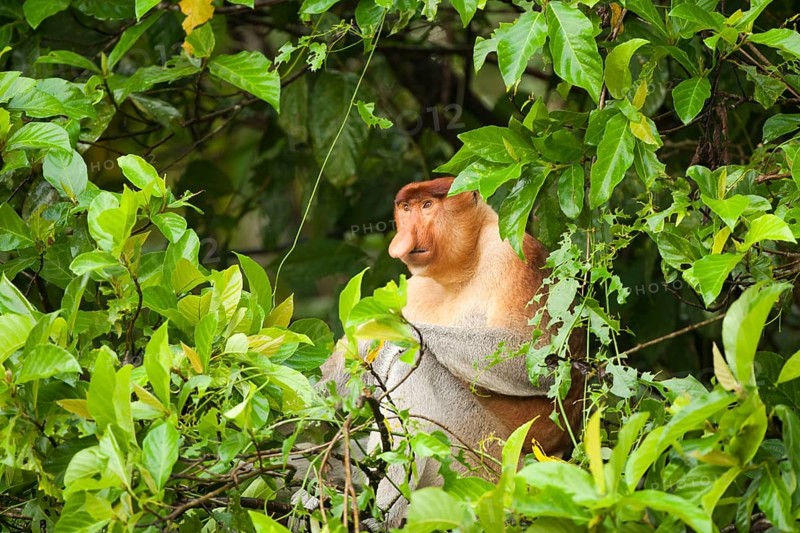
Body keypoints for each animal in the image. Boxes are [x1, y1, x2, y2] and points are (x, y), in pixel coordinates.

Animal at [319, 176, 585, 528]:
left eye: (427, 206)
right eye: (406, 208)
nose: (403, 239)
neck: (463, 269)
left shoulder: (515, 256)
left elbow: (544, 362)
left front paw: (391, 344)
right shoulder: (414, 286)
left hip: (484, 461)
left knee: (418, 366)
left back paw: (385, 509)